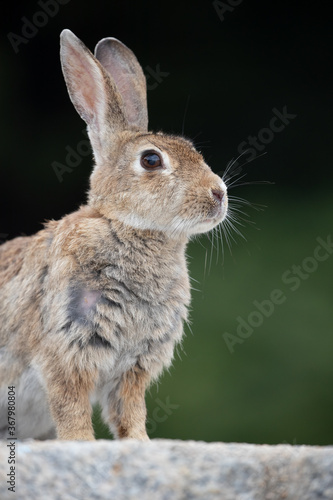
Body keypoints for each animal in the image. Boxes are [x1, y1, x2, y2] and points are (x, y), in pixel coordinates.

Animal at [0, 29, 227, 440]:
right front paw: (80, 443)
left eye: (193, 150)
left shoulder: (133, 368)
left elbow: (128, 411)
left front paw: (140, 442)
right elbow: (71, 408)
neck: (127, 227)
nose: (219, 193)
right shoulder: (66, 352)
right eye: (151, 160)